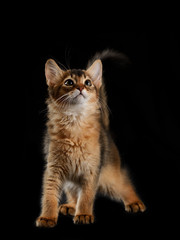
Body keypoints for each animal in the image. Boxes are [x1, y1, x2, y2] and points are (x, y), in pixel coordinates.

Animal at [35, 50, 146, 227]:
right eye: (69, 82)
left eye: (88, 82)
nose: (81, 88)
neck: (75, 123)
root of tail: (105, 130)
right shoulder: (53, 168)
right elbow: (49, 195)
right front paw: (47, 217)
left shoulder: (92, 169)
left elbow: (86, 196)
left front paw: (84, 214)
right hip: (71, 180)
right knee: (73, 192)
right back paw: (71, 206)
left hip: (109, 176)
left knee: (124, 183)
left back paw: (134, 202)